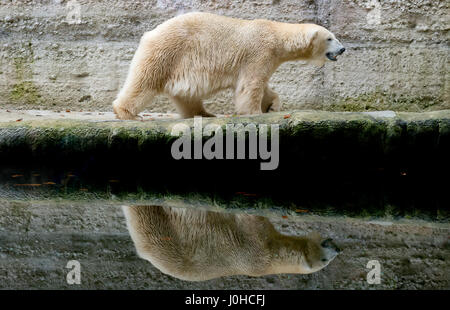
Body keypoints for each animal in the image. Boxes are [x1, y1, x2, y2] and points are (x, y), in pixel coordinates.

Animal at [111, 11, 344, 120]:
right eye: (330, 38)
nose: (342, 49)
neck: (275, 35)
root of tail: (150, 33)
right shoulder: (259, 53)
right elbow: (251, 85)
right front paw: (255, 112)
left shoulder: (266, 58)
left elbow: (261, 86)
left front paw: (272, 105)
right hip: (167, 52)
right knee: (144, 81)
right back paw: (127, 112)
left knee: (186, 95)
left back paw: (204, 113)